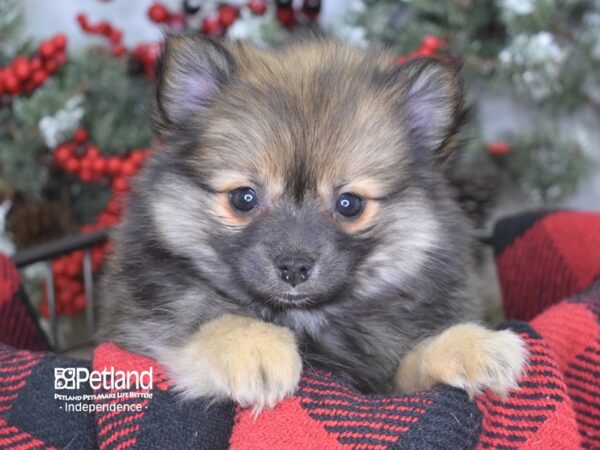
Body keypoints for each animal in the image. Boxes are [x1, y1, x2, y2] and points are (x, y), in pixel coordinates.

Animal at [97, 36, 524, 412]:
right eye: (243, 198)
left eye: (349, 204)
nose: (294, 268)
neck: (305, 320)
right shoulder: (141, 331)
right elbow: (211, 323)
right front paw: (254, 346)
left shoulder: (384, 377)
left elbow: (412, 361)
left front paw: (474, 346)